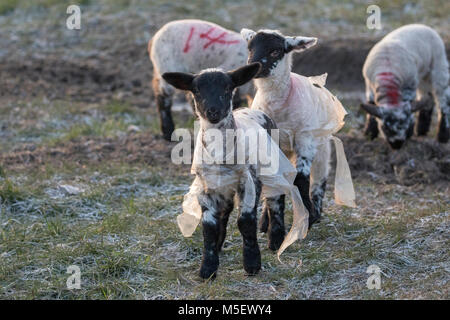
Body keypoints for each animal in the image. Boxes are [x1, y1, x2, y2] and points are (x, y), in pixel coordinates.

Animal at [163, 63, 312, 278]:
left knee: (275, 199)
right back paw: (221, 243)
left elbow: (245, 221)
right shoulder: (207, 186)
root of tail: (252, 110)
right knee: (226, 211)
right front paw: (208, 268)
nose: (213, 111)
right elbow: (209, 226)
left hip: (271, 166)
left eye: (227, 88)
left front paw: (252, 263)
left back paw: (276, 240)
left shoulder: (248, 181)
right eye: (196, 90)